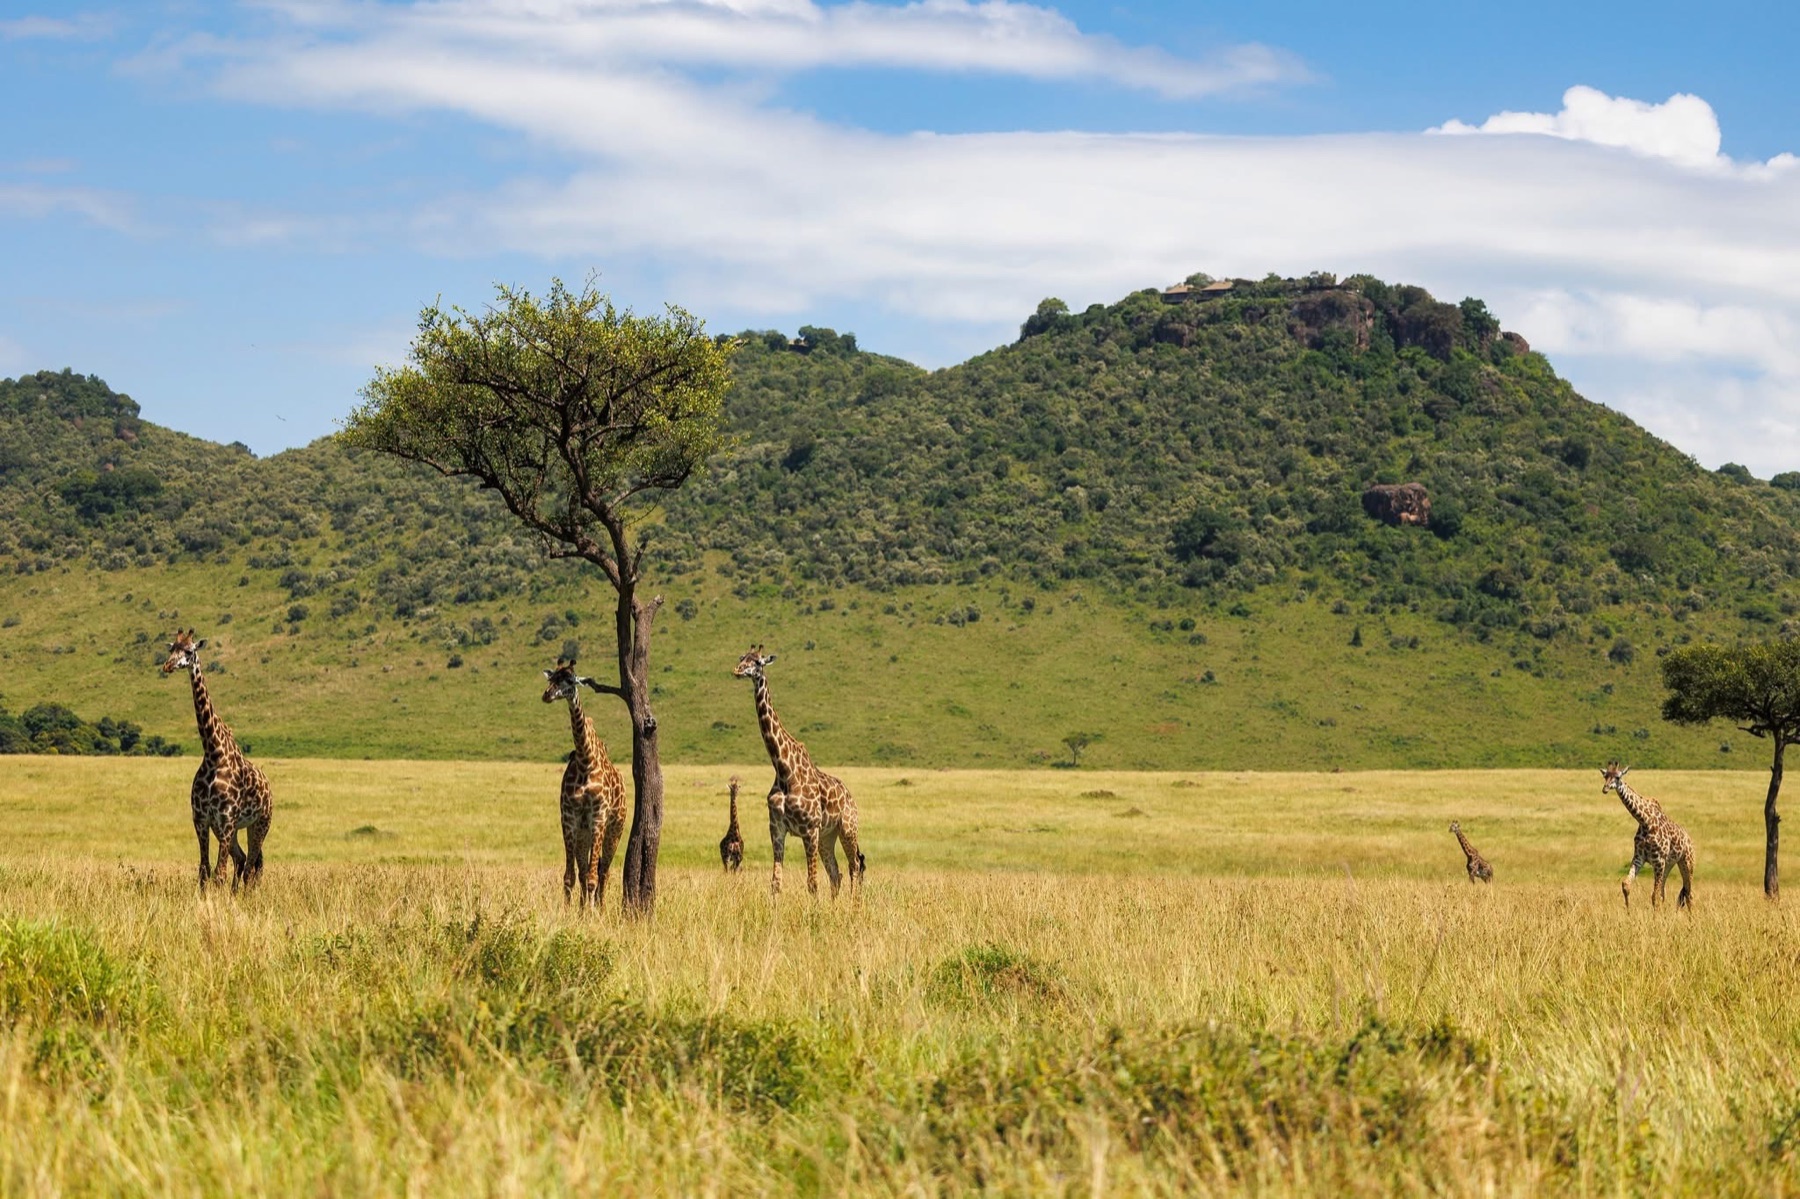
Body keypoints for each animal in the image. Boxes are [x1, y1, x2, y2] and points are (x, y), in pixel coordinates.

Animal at [160, 630, 272, 891]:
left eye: (189, 650)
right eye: (171, 649)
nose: (167, 666)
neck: (213, 754)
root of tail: (270, 790)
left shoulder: (226, 819)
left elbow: (219, 872)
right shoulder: (202, 820)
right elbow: (204, 870)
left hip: (259, 824)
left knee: (252, 865)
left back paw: (245, 895)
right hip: (236, 829)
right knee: (243, 860)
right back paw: (235, 893)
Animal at [543, 658, 627, 911]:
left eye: (570, 680)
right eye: (552, 678)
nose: (547, 695)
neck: (584, 760)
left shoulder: (598, 816)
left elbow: (592, 876)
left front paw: (591, 914)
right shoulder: (569, 817)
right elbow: (570, 876)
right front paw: (571, 912)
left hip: (615, 829)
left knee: (603, 872)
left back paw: (599, 908)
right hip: (584, 833)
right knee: (584, 871)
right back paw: (584, 909)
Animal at [733, 646, 864, 898]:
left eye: (757, 662)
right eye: (741, 658)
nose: (737, 671)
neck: (784, 769)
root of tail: (851, 798)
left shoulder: (809, 830)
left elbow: (812, 883)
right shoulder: (776, 828)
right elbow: (775, 883)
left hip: (847, 828)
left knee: (855, 866)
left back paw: (855, 906)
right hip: (827, 836)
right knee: (836, 873)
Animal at [1602, 763, 1695, 910]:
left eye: (1617, 777)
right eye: (1605, 776)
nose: (1605, 788)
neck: (1645, 821)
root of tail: (1689, 839)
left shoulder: (1658, 860)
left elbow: (1654, 896)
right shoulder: (1639, 857)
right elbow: (1626, 885)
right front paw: (1628, 911)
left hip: (1687, 862)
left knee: (1689, 893)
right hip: (1669, 864)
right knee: (1666, 892)